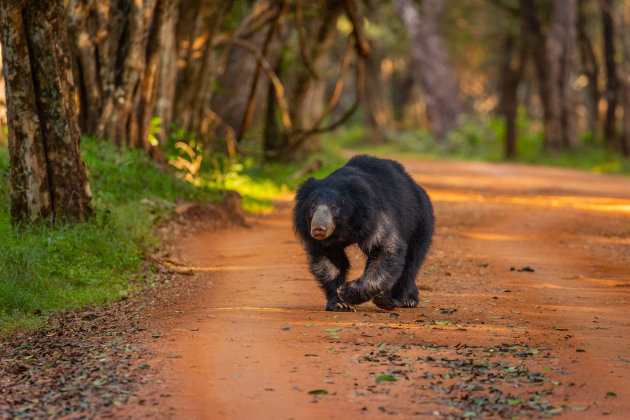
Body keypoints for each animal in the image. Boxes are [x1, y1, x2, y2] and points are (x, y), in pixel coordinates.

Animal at [292, 155, 434, 312]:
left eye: (334, 207)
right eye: (312, 207)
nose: (318, 228)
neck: (344, 226)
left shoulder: (374, 217)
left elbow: (383, 249)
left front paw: (346, 292)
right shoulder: (323, 242)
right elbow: (329, 261)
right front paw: (340, 303)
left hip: (420, 221)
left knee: (410, 261)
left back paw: (396, 300)